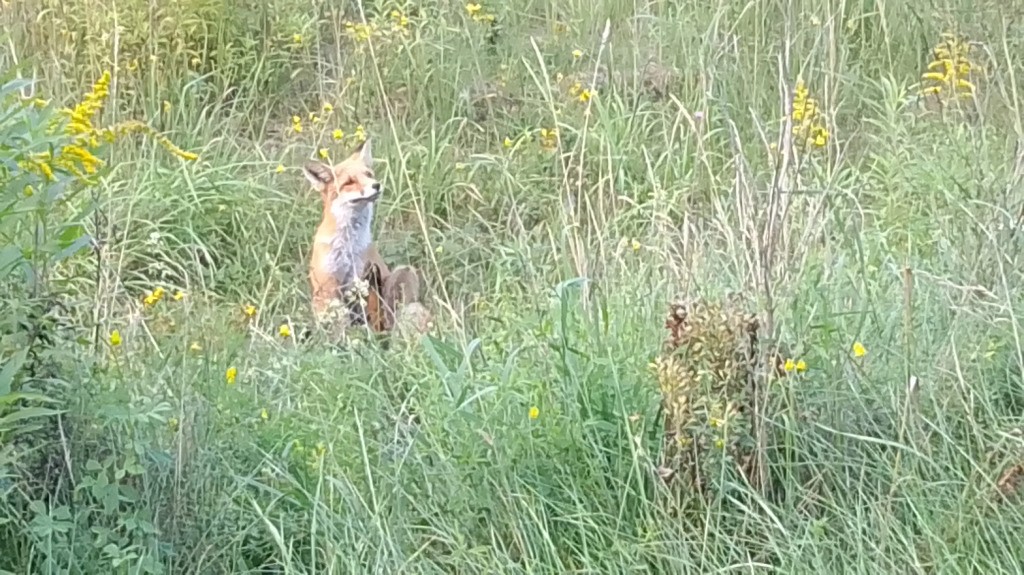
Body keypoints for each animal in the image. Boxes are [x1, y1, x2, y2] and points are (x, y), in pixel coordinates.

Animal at [301, 139, 434, 333]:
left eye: (369, 175)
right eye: (349, 182)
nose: (376, 185)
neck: (348, 246)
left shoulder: (360, 276)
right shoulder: (327, 286)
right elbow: (340, 323)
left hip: (403, 271)